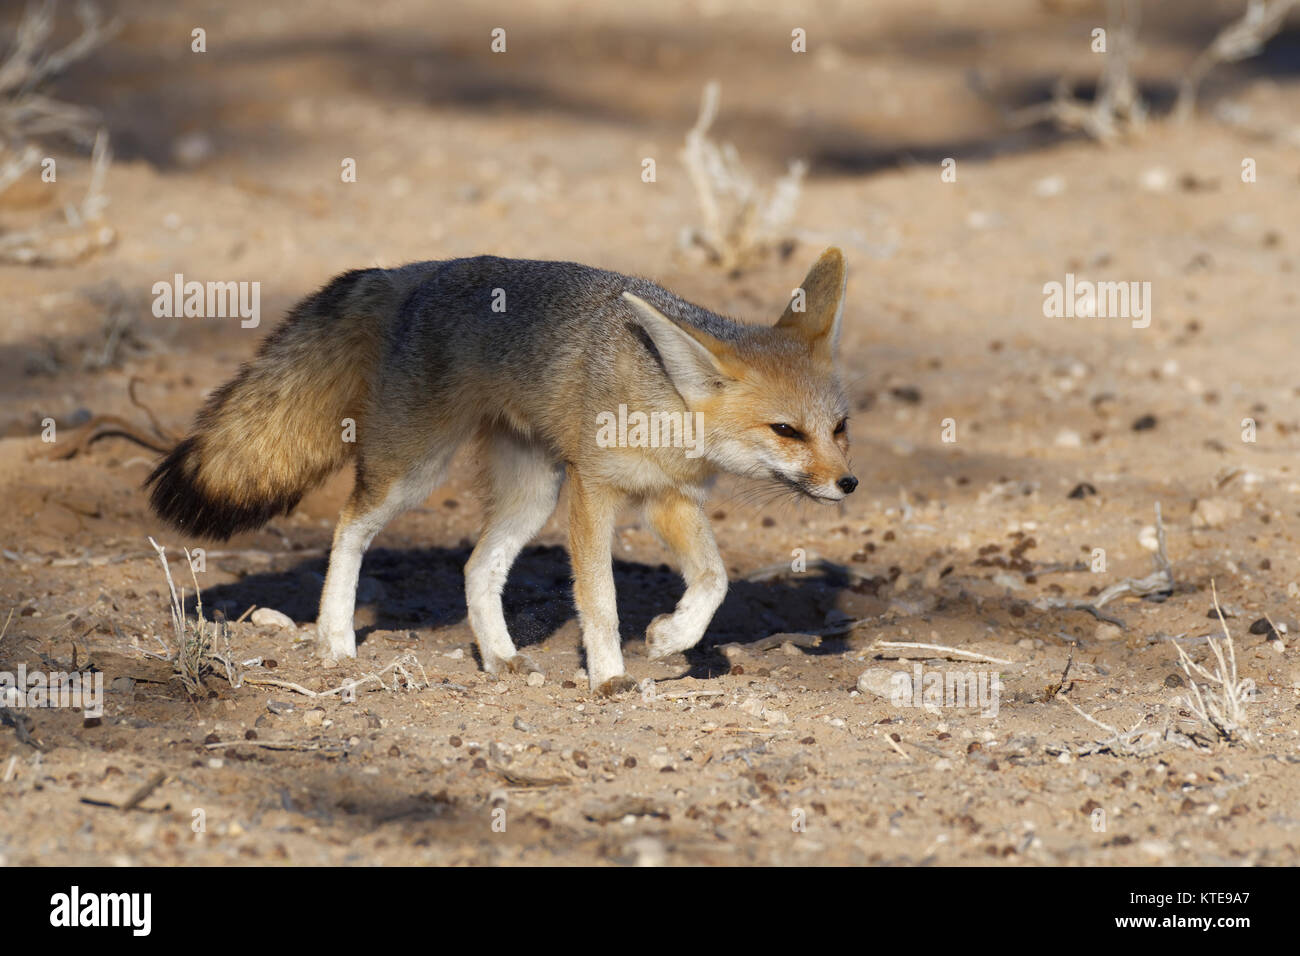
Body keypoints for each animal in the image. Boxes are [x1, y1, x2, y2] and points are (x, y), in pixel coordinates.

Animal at [147, 247, 857, 697]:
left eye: (840, 428)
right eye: (786, 431)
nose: (848, 484)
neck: (664, 406)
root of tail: (414, 271)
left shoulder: (668, 497)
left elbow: (715, 580)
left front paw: (671, 636)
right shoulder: (595, 489)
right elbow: (599, 600)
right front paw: (609, 676)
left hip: (531, 494)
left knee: (475, 565)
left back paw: (498, 655)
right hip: (416, 472)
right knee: (349, 527)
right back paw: (336, 639)